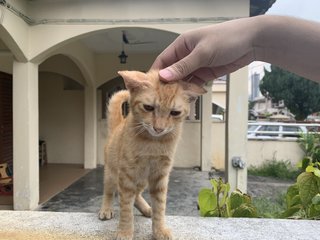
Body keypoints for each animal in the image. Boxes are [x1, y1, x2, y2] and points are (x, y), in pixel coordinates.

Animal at [99, 70, 206, 239]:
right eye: (148, 107)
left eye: (175, 112)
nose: (159, 128)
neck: (153, 143)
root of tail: (116, 127)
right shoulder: (127, 176)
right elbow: (126, 207)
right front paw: (125, 231)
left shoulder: (160, 176)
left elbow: (160, 207)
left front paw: (159, 230)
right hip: (112, 174)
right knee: (110, 192)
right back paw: (106, 209)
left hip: (142, 180)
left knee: (136, 195)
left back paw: (146, 208)